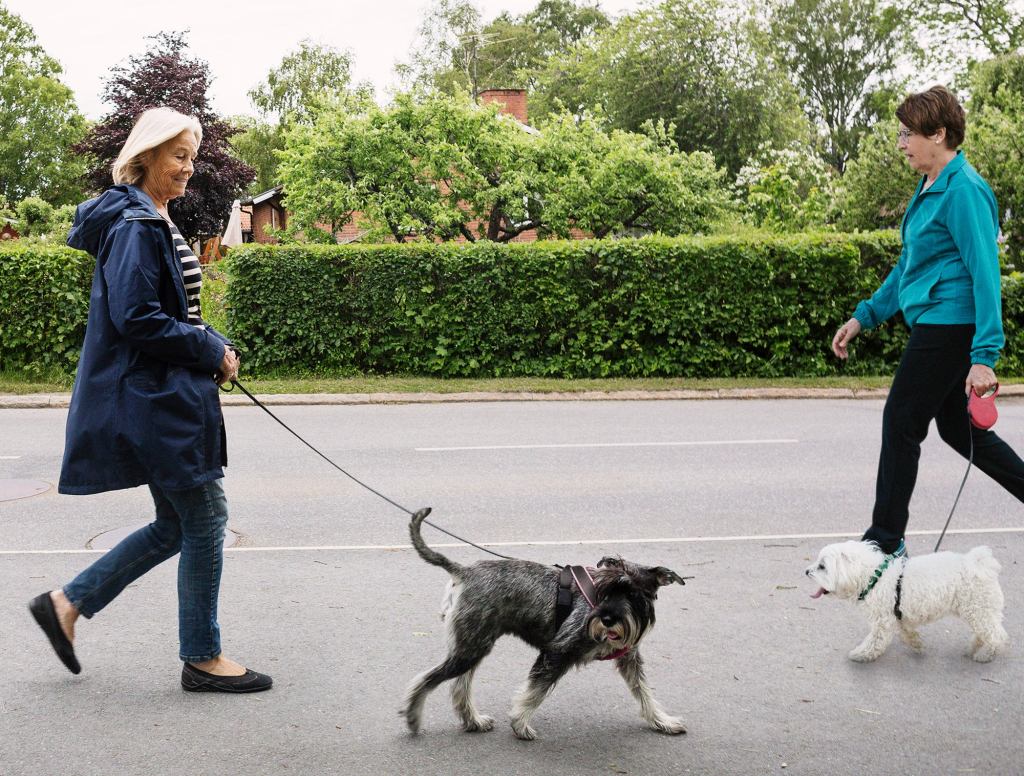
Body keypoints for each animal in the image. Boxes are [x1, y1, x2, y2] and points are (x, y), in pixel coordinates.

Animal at [399, 509, 688, 741]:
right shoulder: (557, 652)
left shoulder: (629, 659)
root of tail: (464, 571)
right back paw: (413, 717)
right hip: (470, 648)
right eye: (605, 590)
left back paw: (473, 721)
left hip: (473, 645)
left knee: (460, 686)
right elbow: (534, 692)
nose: (607, 619)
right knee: (427, 679)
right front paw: (520, 724)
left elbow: (644, 692)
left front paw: (662, 721)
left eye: (634, 594)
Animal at [806, 540, 1007, 663]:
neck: (874, 577)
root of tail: (980, 564)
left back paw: (985, 655)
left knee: (997, 636)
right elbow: (906, 634)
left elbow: (874, 641)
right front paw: (917, 644)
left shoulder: (883, 620)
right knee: (985, 633)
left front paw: (860, 654)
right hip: (980, 611)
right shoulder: (898, 616)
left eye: (822, 566)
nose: (806, 571)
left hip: (978, 609)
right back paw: (973, 648)